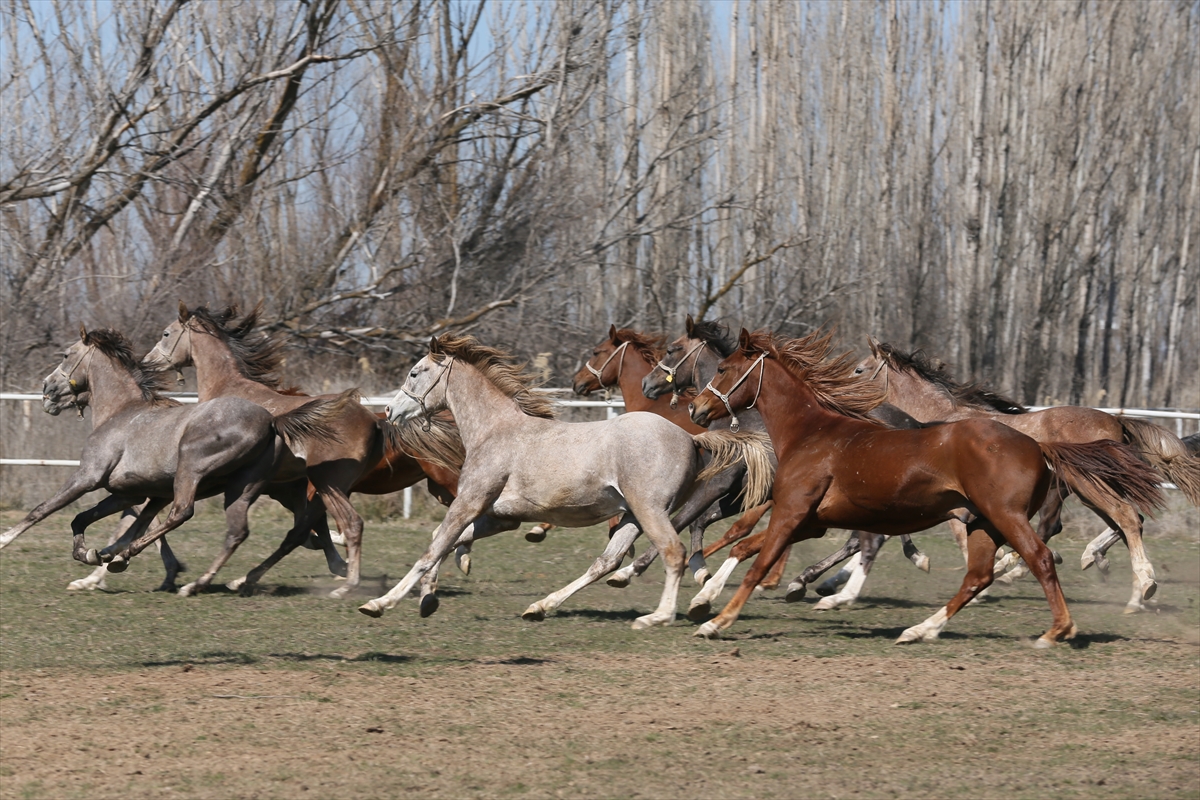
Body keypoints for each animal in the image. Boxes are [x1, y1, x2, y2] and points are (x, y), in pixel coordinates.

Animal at [691, 328, 1166, 647]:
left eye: (723, 369)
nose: (696, 408)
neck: (813, 433)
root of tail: (1036, 444)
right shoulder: (809, 521)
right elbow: (744, 547)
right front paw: (703, 597)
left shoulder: (791, 512)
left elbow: (757, 562)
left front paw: (717, 620)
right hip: (985, 523)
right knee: (978, 575)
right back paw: (921, 629)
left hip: (1008, 516)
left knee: (1048, 554)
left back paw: (1063, 626)